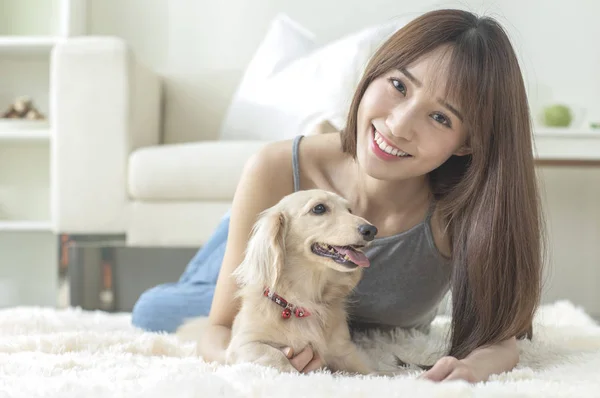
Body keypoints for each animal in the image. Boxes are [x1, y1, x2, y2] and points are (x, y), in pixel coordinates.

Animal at [176, 189, 378, 374]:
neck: (301, 303)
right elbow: (277, 357)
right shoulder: (244, 345)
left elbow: (371, 372)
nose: (371, 230)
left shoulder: (343, 351)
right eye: (319, 208)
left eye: (350, 210)